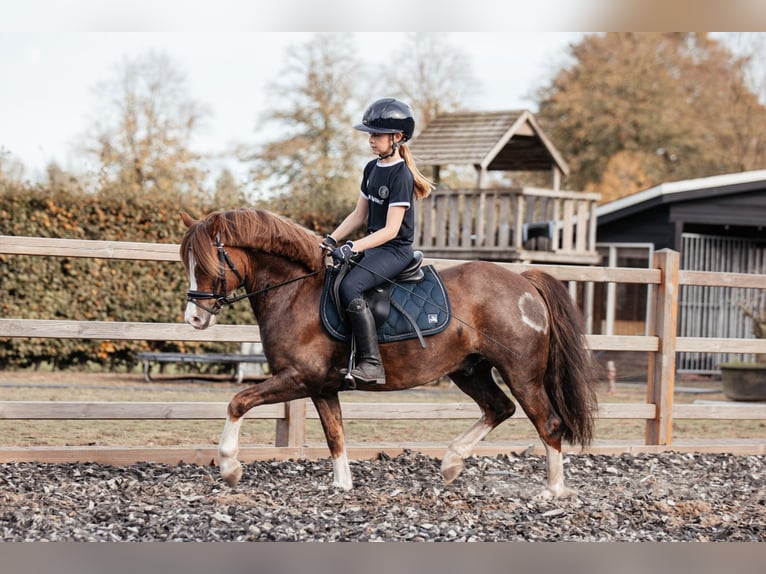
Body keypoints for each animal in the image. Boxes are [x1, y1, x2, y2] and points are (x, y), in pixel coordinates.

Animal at [178, 208, 600, 500]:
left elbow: (238, 402)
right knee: (499, 408)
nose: (194, 318)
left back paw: (552, 491)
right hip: (470, 370)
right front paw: (342, 485)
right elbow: (335, 435)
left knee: (548, 424)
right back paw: (452, 462)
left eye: (211, 262)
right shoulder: (322, 387)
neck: (295, 291)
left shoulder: (298, 378)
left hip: (521, 373)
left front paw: (230, 468)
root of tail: (523, 282)